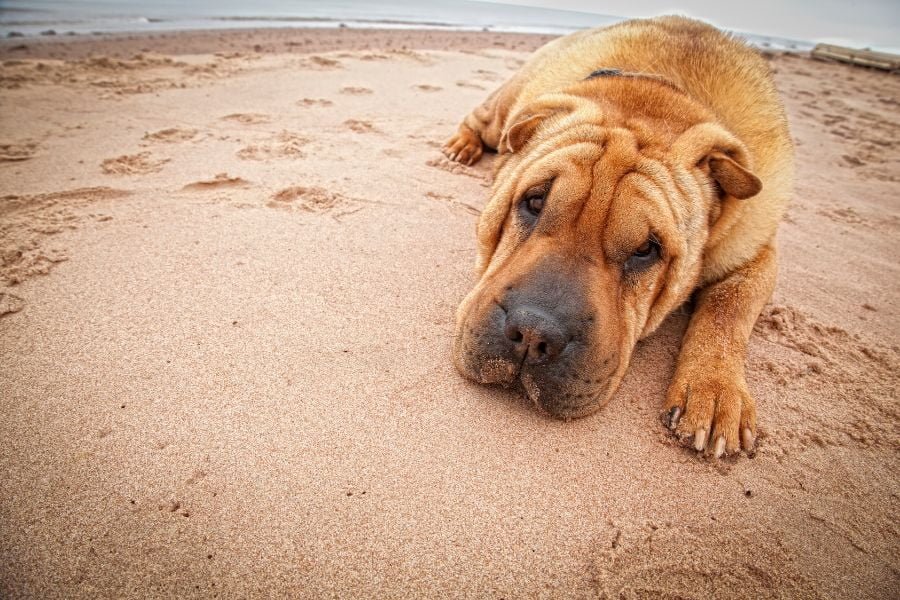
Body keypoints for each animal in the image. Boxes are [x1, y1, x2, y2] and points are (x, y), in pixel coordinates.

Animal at [444, 15, 796, 460]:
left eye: (646, 249)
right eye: (534, 201)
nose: (533, 333)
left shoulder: (756, 249)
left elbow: (730, 307)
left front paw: (714, 390)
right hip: (504, 109)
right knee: (483, 121)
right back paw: (462, 146)